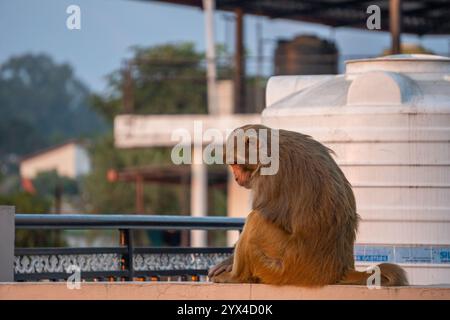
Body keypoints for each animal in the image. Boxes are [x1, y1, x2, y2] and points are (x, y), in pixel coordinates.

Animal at [208, 124, 408, 286]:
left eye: (236, 164)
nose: (235, 178)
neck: (270, 148)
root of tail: (339, 270)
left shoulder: (270, 175)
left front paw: (227, 263)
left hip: (289, 266)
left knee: (255, 221)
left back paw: (236, 277)